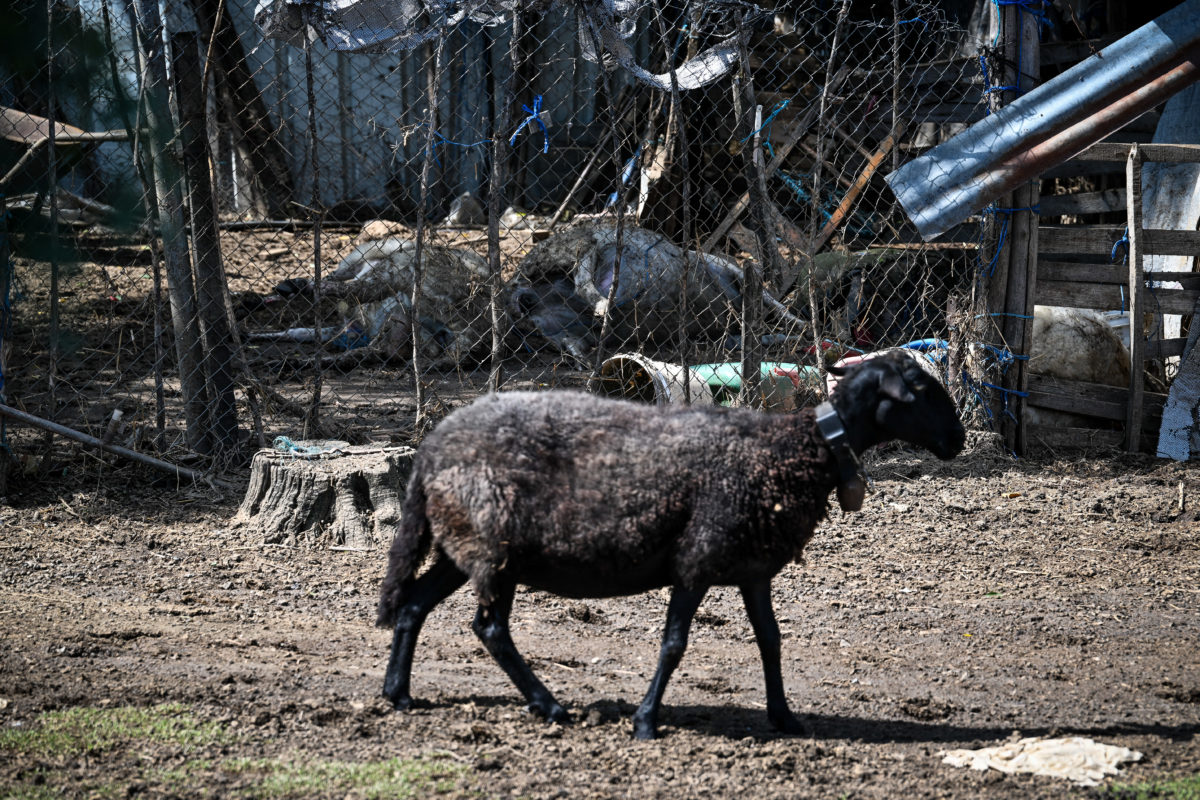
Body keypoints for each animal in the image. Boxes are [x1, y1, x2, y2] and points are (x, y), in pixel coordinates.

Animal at [374, 352, 964, 743]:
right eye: (921, 387)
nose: (957, 441)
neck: (799, 448)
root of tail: (431, 449)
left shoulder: (752, 568)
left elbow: (771, 641)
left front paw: (785, 717)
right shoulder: (697, 557)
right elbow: (674, 645)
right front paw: (645, 721)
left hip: (463, 544)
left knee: (414, 605)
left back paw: (398, 694)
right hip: (493, 545)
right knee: (490, 628)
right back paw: (549, 705)